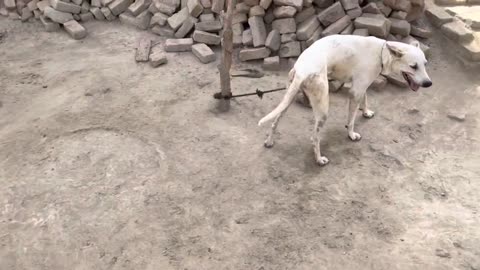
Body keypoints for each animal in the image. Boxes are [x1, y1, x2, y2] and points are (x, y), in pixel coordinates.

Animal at [258, 34, 432, 166]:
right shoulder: (355, 91)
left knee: (274, 122)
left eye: (425, 64)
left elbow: (365, 99)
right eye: (413, 66)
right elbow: (352, 120)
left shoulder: (361, 86)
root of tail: (303, 70)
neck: (382, 53)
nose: (429, 84)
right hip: (322, 111)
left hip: (288, 99)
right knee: (314, 138)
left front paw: (366, 112)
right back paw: (319, 159)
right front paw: (351, 134)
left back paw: (269, 141)